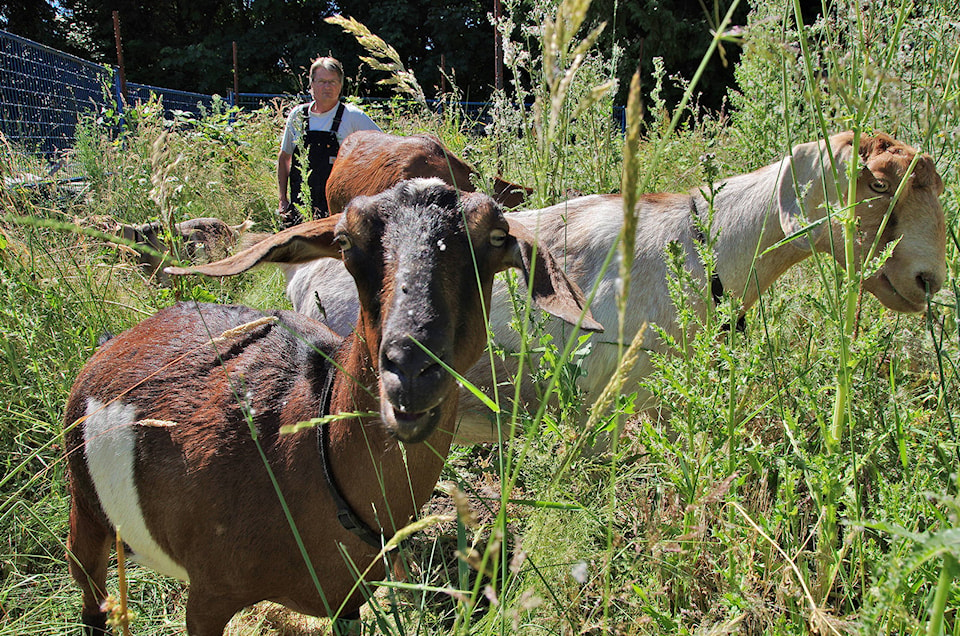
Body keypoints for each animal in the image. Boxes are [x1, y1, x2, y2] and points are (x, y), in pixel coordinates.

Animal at [63, 176, 596, 632]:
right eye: (344, 241)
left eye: (497, 237)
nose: (410, 368)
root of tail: (115, 342)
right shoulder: (208, 597)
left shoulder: (348, 601)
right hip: (85, 509)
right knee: (89, 591)